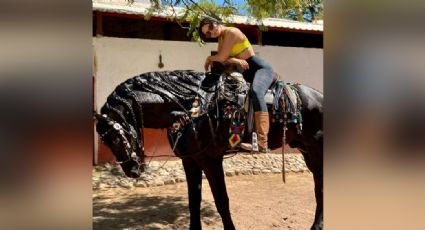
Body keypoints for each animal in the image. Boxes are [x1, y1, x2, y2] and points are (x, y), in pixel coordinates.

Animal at [95, 68, 322, 230]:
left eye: (114, 138)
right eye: (105, 141)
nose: (132, 170)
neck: (189, 108)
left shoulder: (210, 160)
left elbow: (222, 201)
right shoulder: (190, 160)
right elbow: (193, 201)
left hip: (317, 151)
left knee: (319, 188)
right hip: (307, 151)